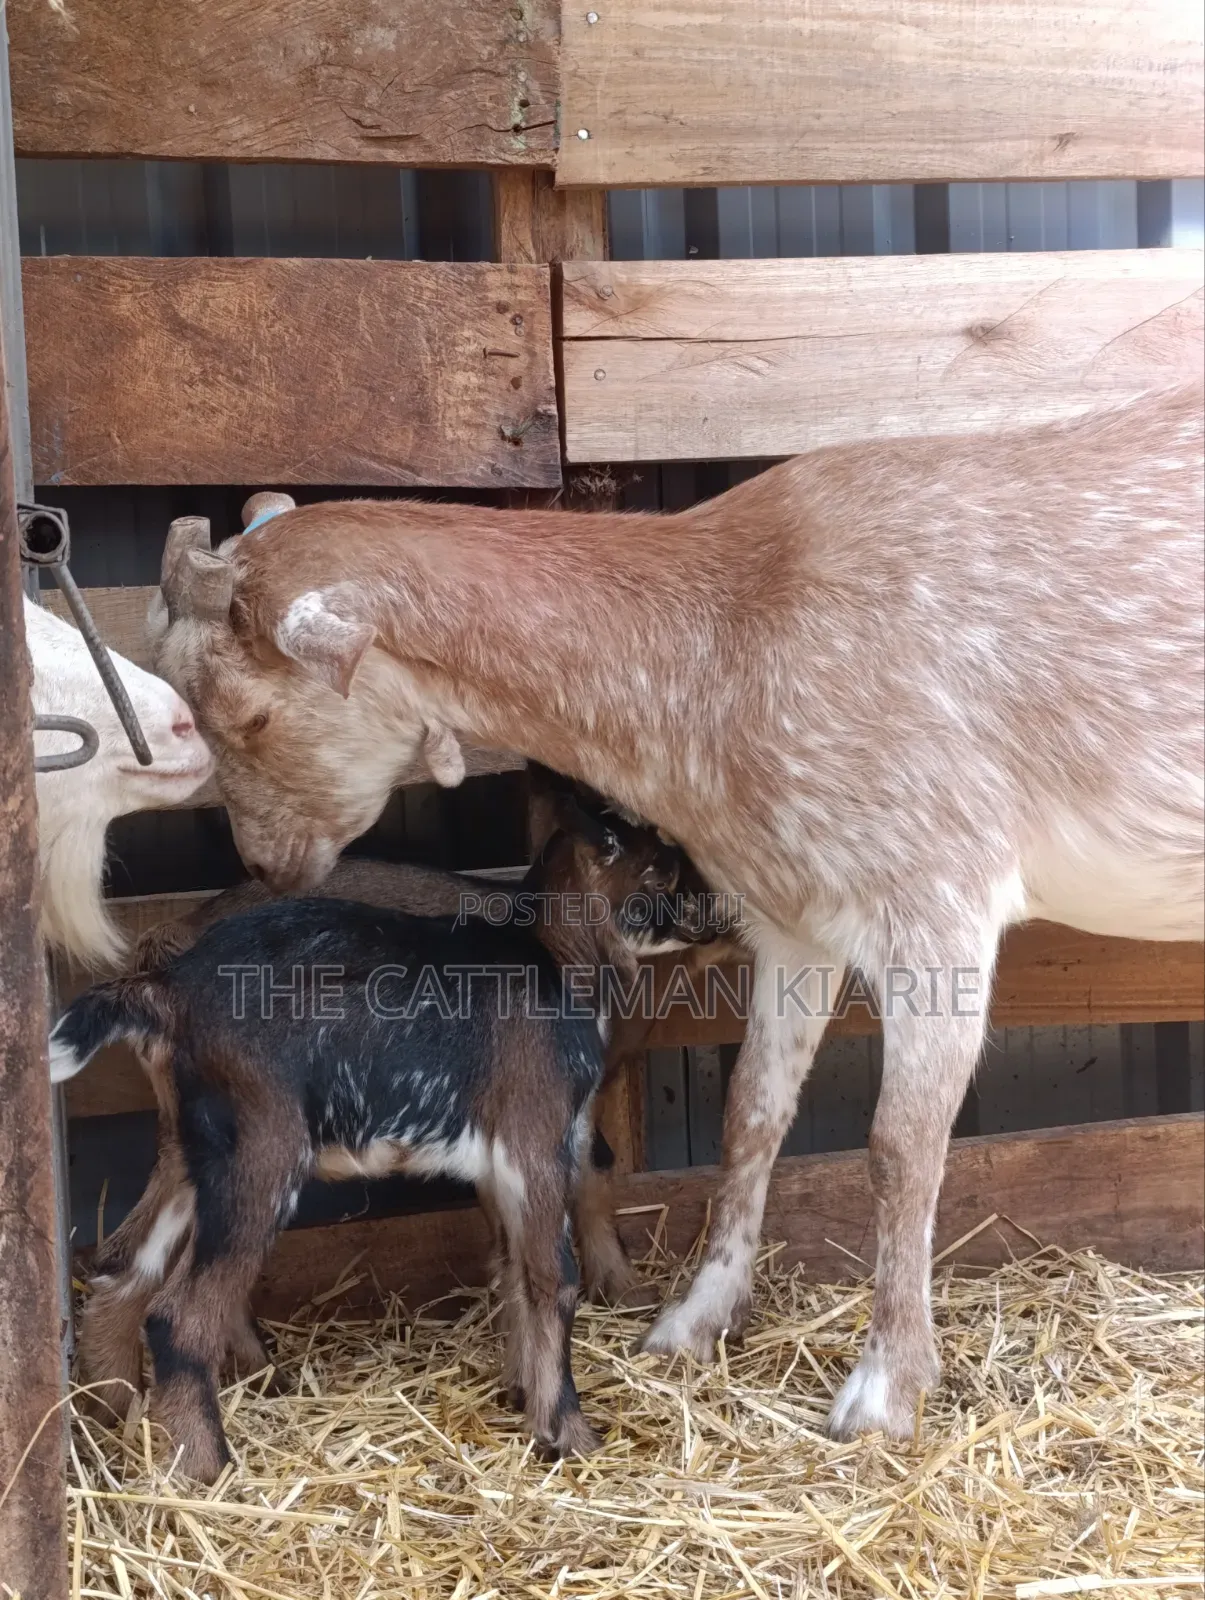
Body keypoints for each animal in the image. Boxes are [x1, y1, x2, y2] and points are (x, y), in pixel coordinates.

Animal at [51, 800, 711, 1478]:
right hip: (261, 1147)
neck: (554, 957)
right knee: (177, 1315)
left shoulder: (498, 1158)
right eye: (663, 871)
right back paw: (208, 1469)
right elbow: (553, 1276)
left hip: (190, 1149)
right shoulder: (535, 1132)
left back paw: (111, 1427)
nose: (710, 913)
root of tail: (164, 989)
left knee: (119, 1270)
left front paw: (524, 1401)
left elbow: (513, 1269)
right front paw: (572, 1435)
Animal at [145, 389, 1204, 1439]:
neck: (729, 633)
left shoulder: (938, 894)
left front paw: (882, 1392)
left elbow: (900, 1148)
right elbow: (750, 1115)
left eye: (249, 715)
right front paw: (693, 1323)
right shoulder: (794, 918)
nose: (264, 862)